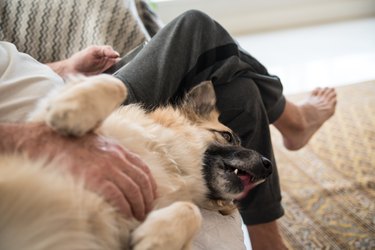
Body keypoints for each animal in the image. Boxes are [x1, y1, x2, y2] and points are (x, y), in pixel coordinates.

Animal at [0, 75, 272, 249]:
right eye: (227, 136)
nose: (269, 165)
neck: (173, 160)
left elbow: (191, 210)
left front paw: (158, 238)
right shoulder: (40, 130)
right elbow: (116, 84)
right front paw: (72, 109)